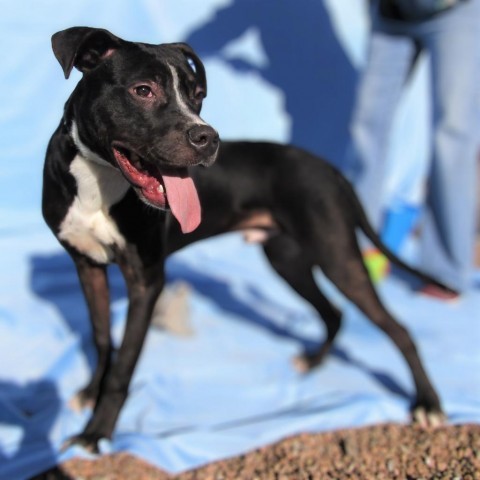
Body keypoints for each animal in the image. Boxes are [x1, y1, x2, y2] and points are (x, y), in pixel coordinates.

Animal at [43, 28, 452, 452]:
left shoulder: (147, 281)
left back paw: (428, 404)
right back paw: (313, 362)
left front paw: (96, 433)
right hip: (287, 259)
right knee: (333, 312)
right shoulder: (86, 266)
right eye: (143, 90)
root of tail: (329, 168)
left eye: (197, 95)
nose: (208, 137)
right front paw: (90, 393)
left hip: (338, 256)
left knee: (398, 329)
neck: (99, 182)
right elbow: (101, 338)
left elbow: (124, 365)